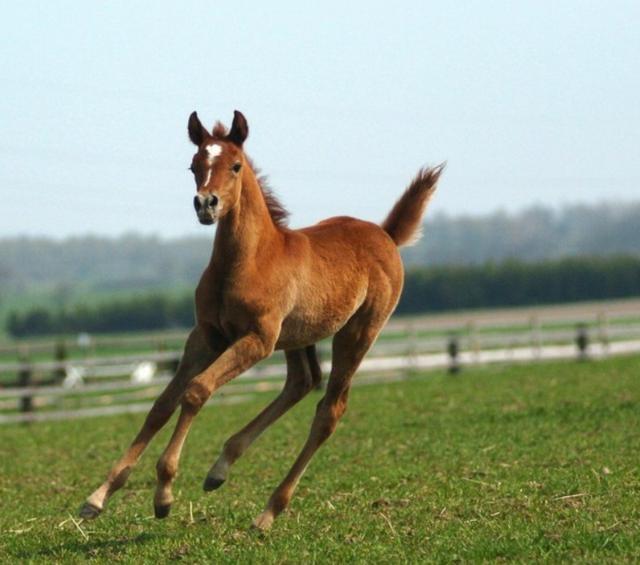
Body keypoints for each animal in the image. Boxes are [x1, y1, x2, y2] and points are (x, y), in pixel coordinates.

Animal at [80, 109, 444, 528]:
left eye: (236, 165)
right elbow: (162, 404)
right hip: (298, 337)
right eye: (194, 165)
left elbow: (196, 390)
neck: (248, 261)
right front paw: (98, 496)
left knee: (329, 410)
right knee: (302, 382)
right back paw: (220, 469)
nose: (206, 204)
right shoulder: (206, 335)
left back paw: (268, 511)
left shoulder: (257, 339)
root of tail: (385, 234)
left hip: (357, 332)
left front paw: (164, 493)